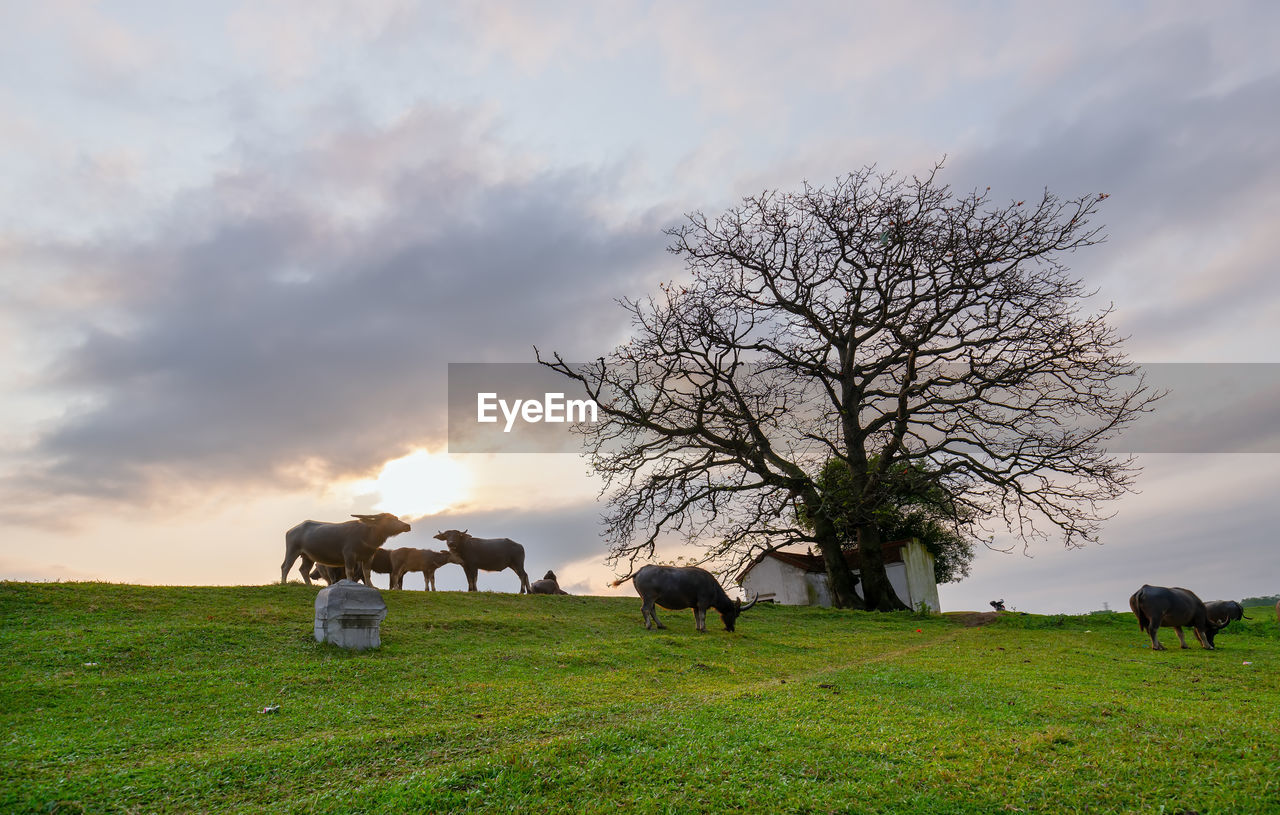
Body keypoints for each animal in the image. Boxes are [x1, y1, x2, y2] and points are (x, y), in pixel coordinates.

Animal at [280, 514, 409, 585]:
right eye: (389, 519)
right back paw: (284, 582)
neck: (367, 534)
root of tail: (291, 530)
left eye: (396, 518)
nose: (407, 526)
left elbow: (367, 573)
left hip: (308, 556)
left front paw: (371, 586)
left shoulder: (368, 557)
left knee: (304, 570)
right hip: (292, 551)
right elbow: (349, 571)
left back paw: (309, 585)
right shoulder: (349, 555)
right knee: (285, 566)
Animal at [611, 562, 752, 632]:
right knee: (645, 609)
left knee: (651, 610)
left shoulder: (696, 606)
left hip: (649, 598)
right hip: (649, 597)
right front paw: (704, 629)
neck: (712, 587)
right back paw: (649, 626)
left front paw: (698, 627)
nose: (731, 629)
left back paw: (661, 625)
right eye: (734, 614)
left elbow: (696, 616)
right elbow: (702, 616)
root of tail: (640, 571)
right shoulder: (703, 603)